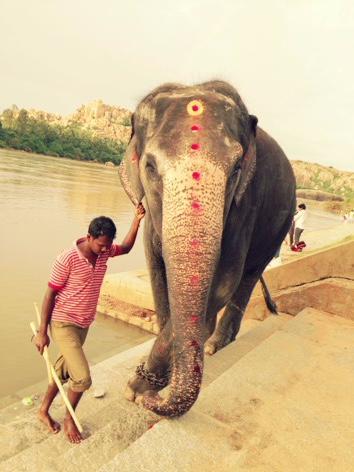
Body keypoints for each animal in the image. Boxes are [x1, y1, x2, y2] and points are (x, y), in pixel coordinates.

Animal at [118, 81, 296, 416]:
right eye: (150, 167)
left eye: (237, 168)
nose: (154, 402)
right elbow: (157, 275)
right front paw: (149, 384)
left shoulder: (245, 206)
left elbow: (224, 283)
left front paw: (139, 390)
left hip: (280, 223)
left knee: (248, 276)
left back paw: (214, 344)